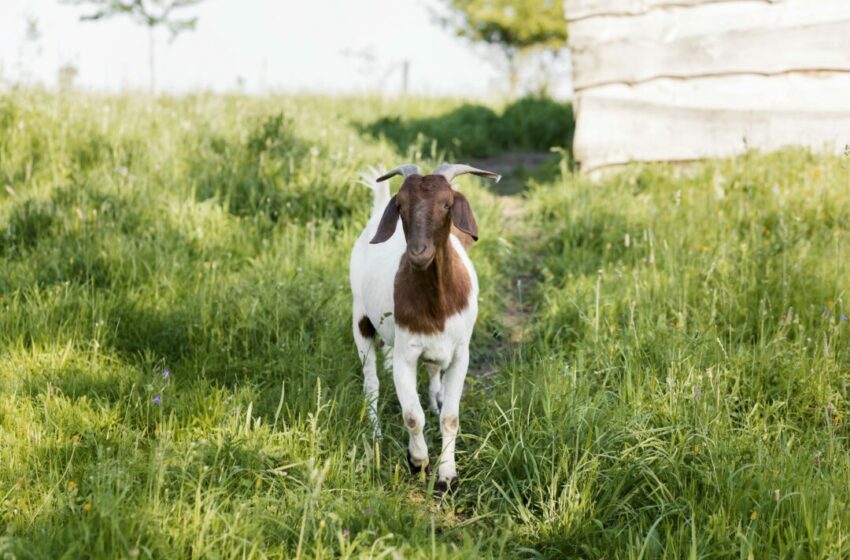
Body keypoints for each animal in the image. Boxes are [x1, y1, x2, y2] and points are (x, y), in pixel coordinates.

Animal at [350, 161, 500, 490]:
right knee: (372, 382)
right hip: (360, 318)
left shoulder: (460, 353)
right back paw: (376, 434)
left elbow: (450, 417)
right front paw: (418, 461)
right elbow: (411, 416)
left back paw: (434, 399)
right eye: (401, 206)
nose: (418, 253)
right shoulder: (406, 354)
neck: (438, 303)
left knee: (431, 371)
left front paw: (448, 475)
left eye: (446, 204)